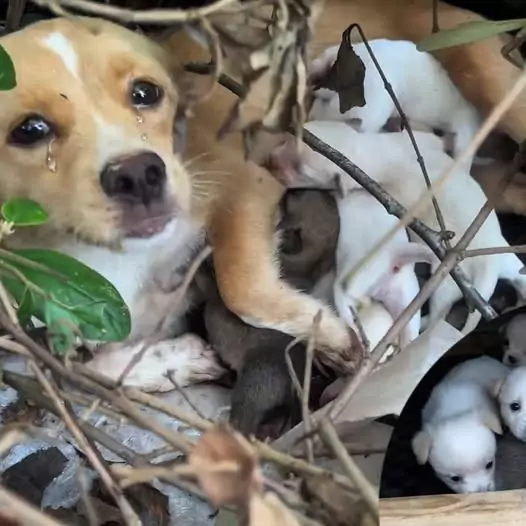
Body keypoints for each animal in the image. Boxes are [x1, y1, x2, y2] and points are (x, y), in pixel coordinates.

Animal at [272, 121, 526, 336]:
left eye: (300, 169)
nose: (271, 159)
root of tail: (488, 268)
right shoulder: (416, 141)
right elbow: (433, 140)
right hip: (505, 258)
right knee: (519, 275)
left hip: (446, 283)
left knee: (438, 314)